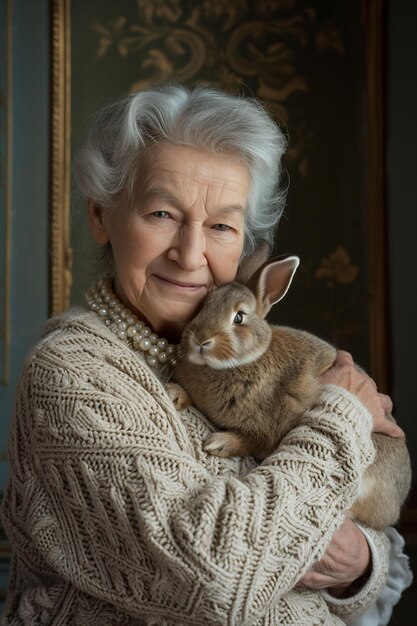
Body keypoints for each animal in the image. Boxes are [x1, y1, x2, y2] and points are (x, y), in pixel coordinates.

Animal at [169, 244, 410, 528]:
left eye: (239, 317)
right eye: (202, 306)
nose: (200, 339)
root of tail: (397, 500)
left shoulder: (267, 430)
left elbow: (251, 440)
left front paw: (220, 443)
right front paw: (175, 394)